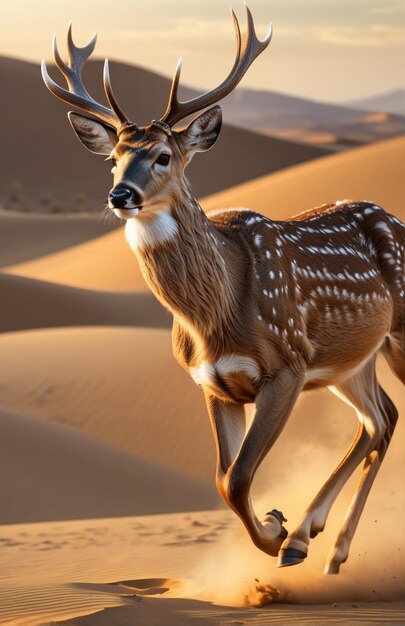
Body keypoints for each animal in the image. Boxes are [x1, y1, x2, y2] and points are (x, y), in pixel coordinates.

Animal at [41, 6, 404, 572]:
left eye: (163, 155)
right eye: (114, 157)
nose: (120, 194)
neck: (216, 313)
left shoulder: (287, 364)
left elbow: (237, 476)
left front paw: (275, 532)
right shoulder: (212, 383)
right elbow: (221, 479)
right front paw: (281, 531)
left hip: (392, 334)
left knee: (383, 419)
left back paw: (313, 539)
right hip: (352, 361)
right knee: (380, 420)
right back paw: (323, 543)